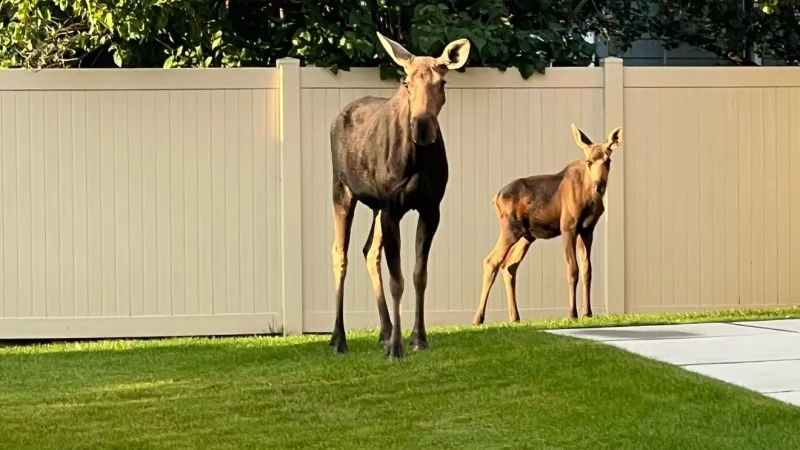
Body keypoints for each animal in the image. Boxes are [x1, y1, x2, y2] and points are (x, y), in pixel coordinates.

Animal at [328, 32, 471, 360]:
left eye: (442, 82)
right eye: (406, 82)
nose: (423, 126)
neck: (417, 158)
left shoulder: (430, 208)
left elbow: (419, 274)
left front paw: (418, 338)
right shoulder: (393, 207)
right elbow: (398, 279)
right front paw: (397, 347)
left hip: (377, 208)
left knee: (369, 250)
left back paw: (384, 330)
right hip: (342, 192)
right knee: (340, 253)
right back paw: (339, 338)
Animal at [472, 123, 623, 325]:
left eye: (608, 161)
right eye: (589, 161)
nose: (599, 186)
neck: (590, 198)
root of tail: (495, 198)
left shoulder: (587, 229)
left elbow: (587, 270)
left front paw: (587, 313)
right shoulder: (568, 226)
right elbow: (572, 269)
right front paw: (571, 313)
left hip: (526, 236)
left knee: (509, 266)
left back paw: (514, 317)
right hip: (510, 229)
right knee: (491, 261)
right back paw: (478, 318)